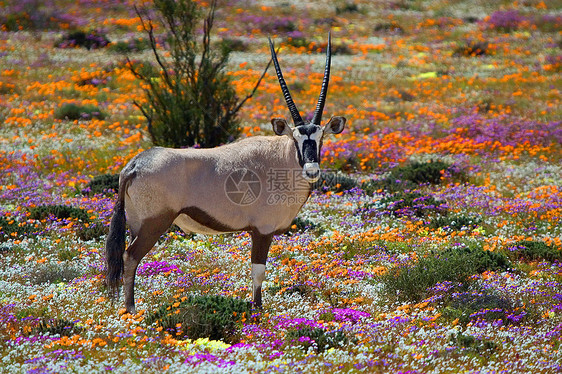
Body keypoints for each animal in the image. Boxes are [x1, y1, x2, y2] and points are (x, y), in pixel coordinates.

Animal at [103, 35, 344, 314]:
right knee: (130, 256)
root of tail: (134, 165)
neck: (281, 159)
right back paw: (131, 310)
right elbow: (258, 271)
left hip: (137, 225)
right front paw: (257, 311)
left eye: (320, 138)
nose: (311, 168)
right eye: (296, 138)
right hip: (155, 224)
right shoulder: (262, 231)